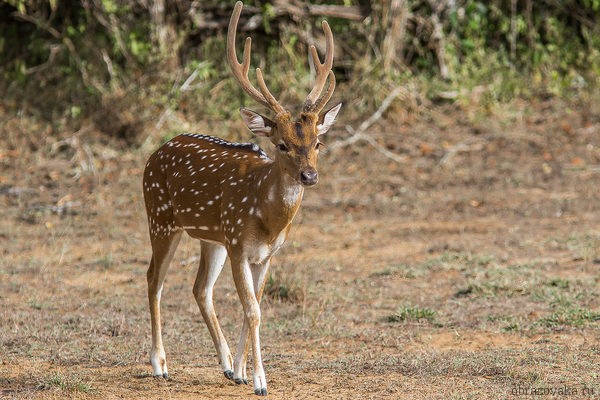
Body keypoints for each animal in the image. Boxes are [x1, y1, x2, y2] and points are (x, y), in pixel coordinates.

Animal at [139, 1, 338, 396]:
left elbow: (255, 306)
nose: (309, 176)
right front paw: (261, 381)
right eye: (282, 144)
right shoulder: (239, 246)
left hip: (211, 238)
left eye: (318, 142)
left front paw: (244, 372)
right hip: (161, 218)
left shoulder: (265, 254)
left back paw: (228, 364)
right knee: (154, 278)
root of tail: (155, 153)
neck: (266, 217)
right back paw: (159, 365)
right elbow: (253, 310)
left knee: (200, 288)